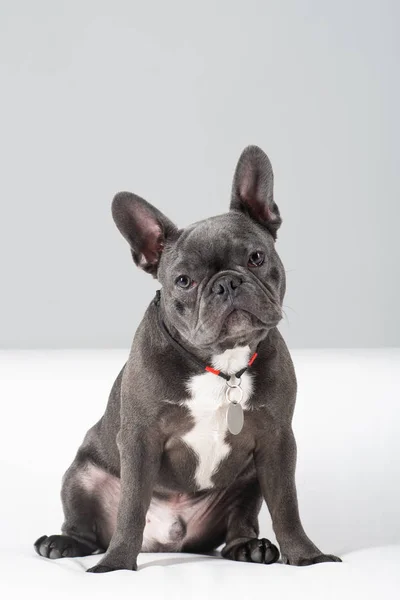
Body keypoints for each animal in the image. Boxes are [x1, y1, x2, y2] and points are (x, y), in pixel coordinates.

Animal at [33, 145, 340, 572]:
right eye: (183, 281)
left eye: (256, 257)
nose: (226, 283)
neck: (221, 366)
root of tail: (168, 541)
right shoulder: (140, 439)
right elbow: (131, 507)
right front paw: (116, 565)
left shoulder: (277, 440)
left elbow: (286, 505)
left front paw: (307, 557)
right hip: (81, 475)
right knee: (85, 526)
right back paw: (62, 543)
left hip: (248, 480)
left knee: (241, 521)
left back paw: (250, 547)